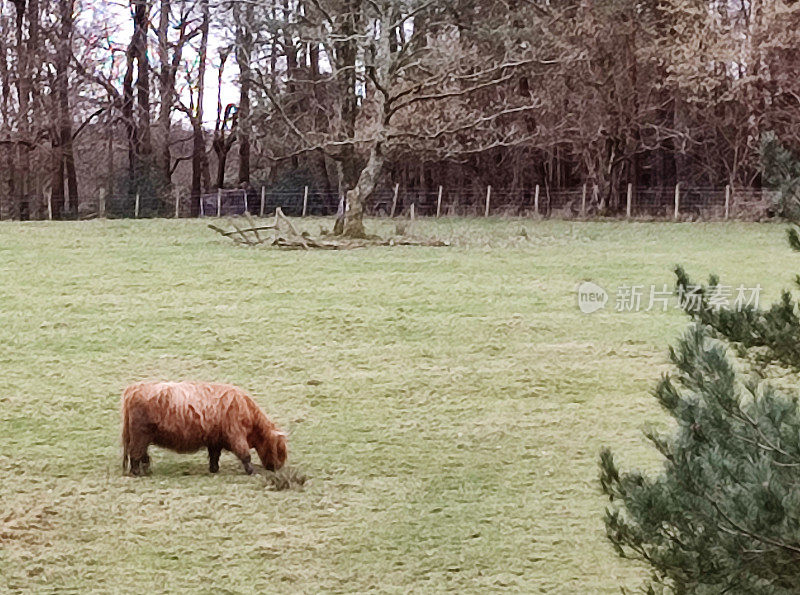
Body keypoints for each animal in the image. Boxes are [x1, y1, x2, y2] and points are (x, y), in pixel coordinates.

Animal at [121, 384, 288, 478]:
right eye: (280, 449)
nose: (278, 467)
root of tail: (133, 390)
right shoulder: (236, 435)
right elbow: (245, 455)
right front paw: (252, 471)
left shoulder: (216, 440)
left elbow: (214, 456)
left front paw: (214, 469)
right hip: (140, 435)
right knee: (135, 454)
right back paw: (137, 473)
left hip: (142, 437)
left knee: (142, 454)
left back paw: (147, 470)